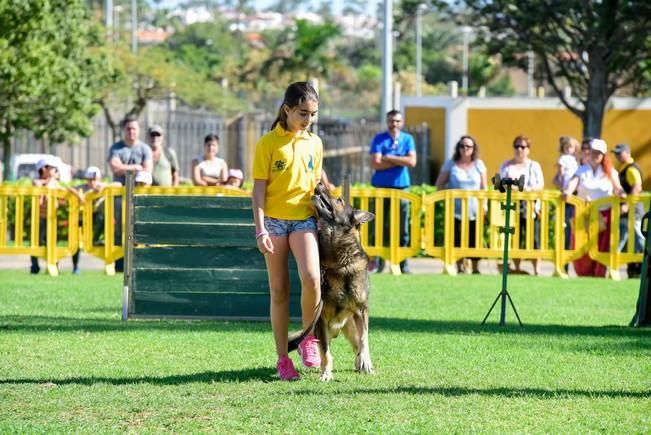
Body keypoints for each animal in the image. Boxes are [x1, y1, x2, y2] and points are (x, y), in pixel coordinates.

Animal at [288, 183, 374, 382]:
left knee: (357, 343)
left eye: (340, 200)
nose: (319, 183)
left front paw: (366, 363)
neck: (338, 263)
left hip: (350, 326)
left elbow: (364, 339)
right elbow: (326, 352)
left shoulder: (361, 311)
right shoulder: (321, 319)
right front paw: (326, 374)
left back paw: (361, 362)